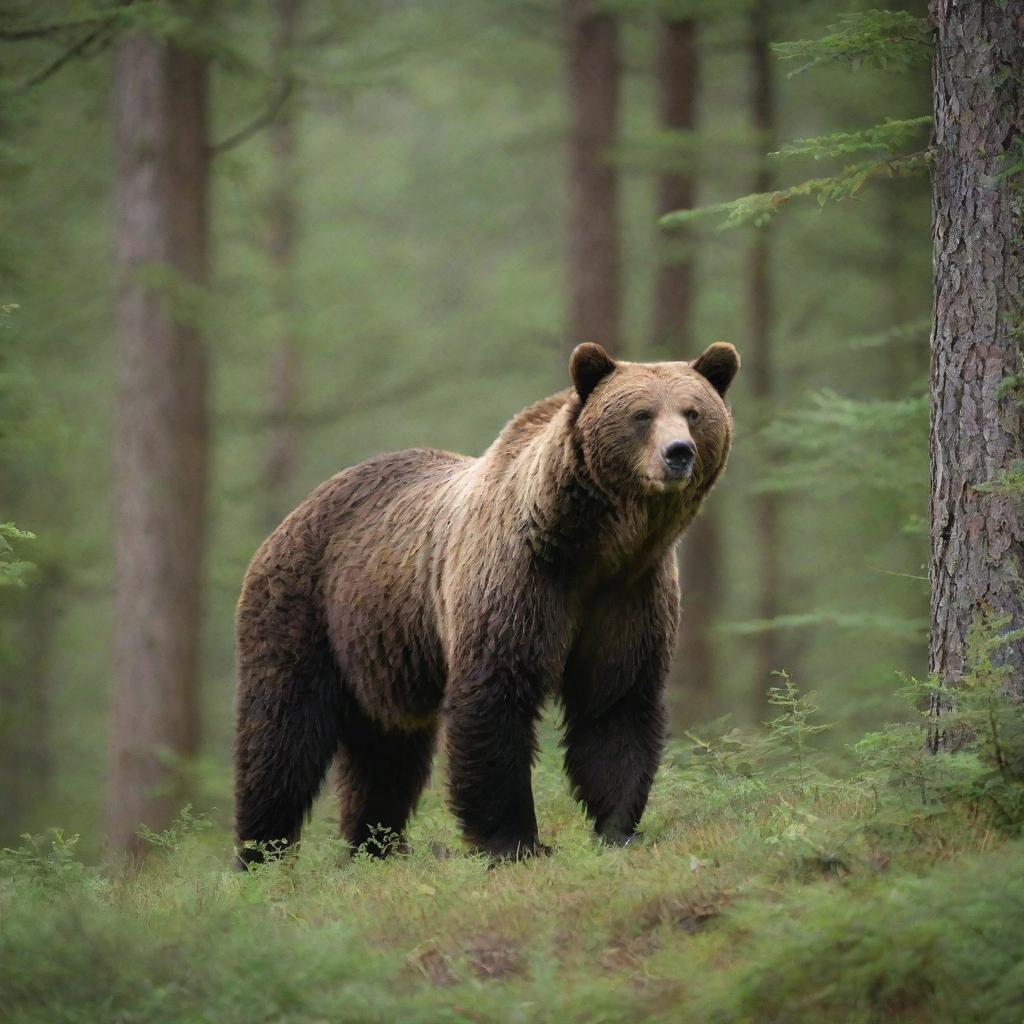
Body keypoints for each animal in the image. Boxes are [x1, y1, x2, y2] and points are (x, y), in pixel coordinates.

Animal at [235, 337, 741, 864]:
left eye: (693, 412)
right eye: (642, 414)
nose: (677, 453)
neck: (595, 546)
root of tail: (300, 508)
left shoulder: (628, 593)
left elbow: (616, 702)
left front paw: (618, 828)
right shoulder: (520, 582)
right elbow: (497, 696)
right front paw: (514, 841)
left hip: (380, 646)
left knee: (387, 751)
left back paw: (377, 846)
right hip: (305, 610)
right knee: (282, 734)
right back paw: (262, 853)